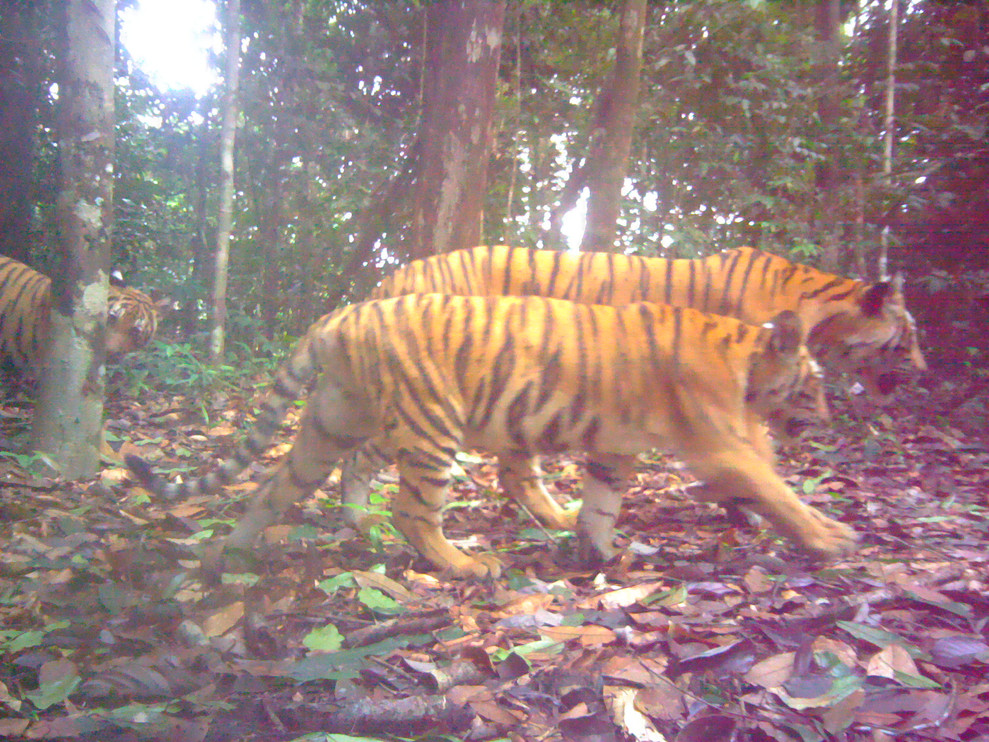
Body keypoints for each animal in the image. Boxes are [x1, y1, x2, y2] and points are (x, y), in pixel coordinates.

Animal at [126, 293, 853, 579]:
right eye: (815, 384)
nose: (830, 416)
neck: (745, 361)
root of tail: (341, 316)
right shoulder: (721, 447)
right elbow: (778, 491)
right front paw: (831, 538)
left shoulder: (614, 450)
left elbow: (601, 502)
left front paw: (596, 553)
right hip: (430, 427)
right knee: (412, 511)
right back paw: (465, 565)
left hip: (330, 424)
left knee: (274, 488)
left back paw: (225, 556)